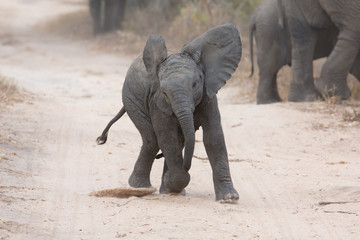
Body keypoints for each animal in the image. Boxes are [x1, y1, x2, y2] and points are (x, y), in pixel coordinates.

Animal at [97, 23, 242, 201]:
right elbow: (168, 137)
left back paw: (166, 189)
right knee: (152, 140)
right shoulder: (157, 101)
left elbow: (214, 138)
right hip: (131, 98)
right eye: (165, 92)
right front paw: (172, 181)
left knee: (176, 141)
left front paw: (229, 198)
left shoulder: (208, 96)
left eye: (195, 84)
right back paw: (141, 187)